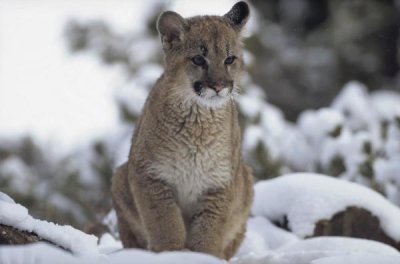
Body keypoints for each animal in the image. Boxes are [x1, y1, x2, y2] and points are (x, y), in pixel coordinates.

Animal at [110, 1, 253, 258]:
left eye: (229, 59)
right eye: (198, 59)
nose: (219, 86)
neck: (199, 123)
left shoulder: (219, 184)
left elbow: (208, 231)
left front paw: (205, 257)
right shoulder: (151, 176)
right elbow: (166, 223)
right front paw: (172, 253)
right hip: (119, 178)